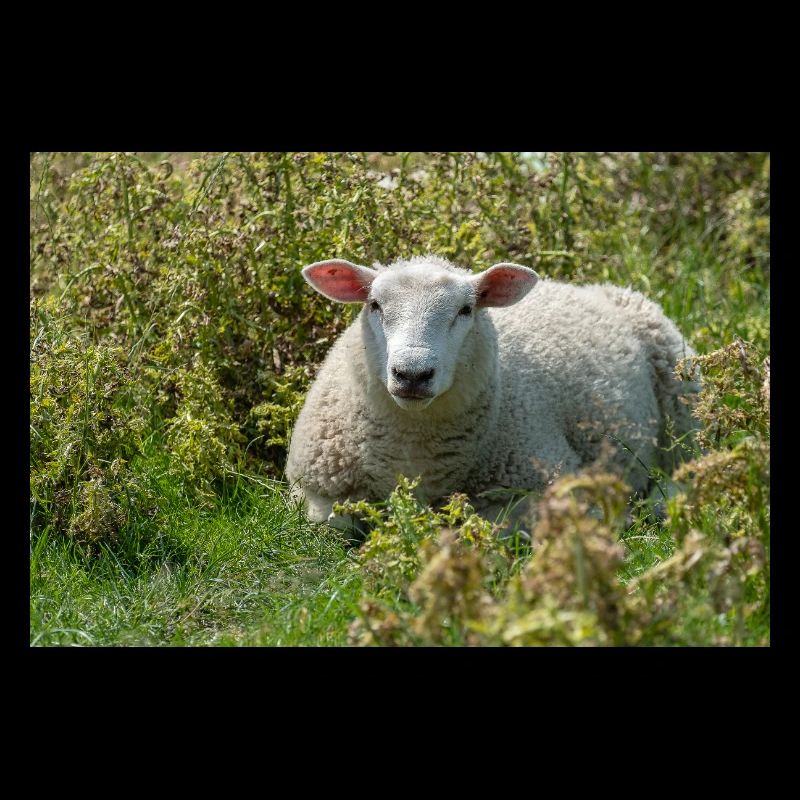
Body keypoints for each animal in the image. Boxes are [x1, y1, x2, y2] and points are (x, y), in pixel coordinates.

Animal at [285, 255, 700, 530]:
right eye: (374, 305)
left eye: (466, 310)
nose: (413, 374)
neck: (415, 452)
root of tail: (581, 286)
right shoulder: (317, 492)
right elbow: (332, 522)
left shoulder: (544, 485)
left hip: (683, 398)